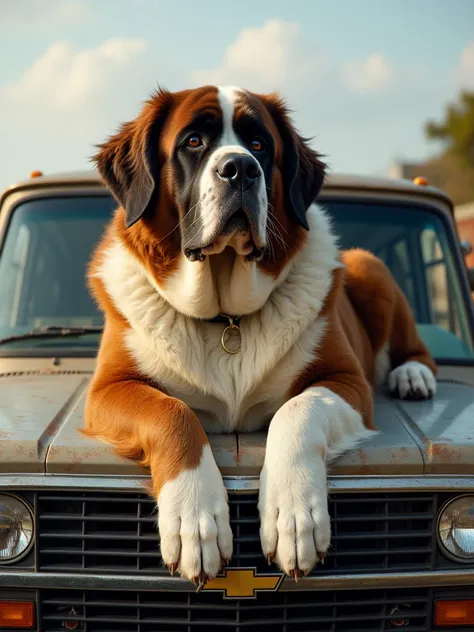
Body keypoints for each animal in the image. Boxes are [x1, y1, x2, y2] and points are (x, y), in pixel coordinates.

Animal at [84, 82, 436, 588]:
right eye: (193, 141)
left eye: (259, 145)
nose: (241, 168)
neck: (225, 318)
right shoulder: (108, 390)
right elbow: (171, 412)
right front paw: (195, 521)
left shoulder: (347, 382)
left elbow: (298, 409)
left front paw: (294, 515)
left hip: (369, 265)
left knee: (412, 346)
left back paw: (413, 376)